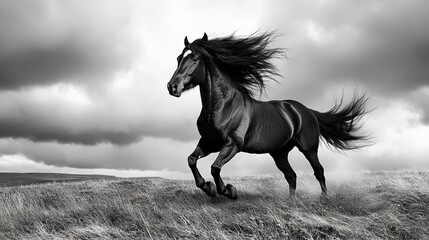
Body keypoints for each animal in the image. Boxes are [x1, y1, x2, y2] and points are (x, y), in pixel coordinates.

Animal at [167, 32, 368, 201]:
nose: (172, 87)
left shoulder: (233, 144)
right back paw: (291, 201)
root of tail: (307, 111)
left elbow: (215, 168)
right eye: (178, 58)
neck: (223, 107)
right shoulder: (209, 142)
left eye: (195, 58)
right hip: (279, 153)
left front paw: (229, 191)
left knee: (318, 171)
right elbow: (192, 160)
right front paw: (208, 188)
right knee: (291, 175)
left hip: (308, 149)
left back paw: (324, 198)